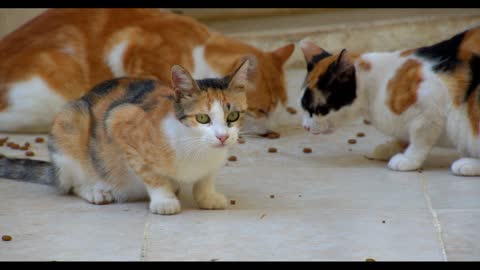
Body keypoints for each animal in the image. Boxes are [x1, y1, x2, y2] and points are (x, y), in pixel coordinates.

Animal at [0, 60, 253, 214]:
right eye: (202, 118)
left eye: (233, 115)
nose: (222, 137)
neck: (196, 148)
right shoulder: (119, 120)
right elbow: (151, 174)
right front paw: (164, 200)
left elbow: (205, 179)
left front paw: (207, 197)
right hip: (70, 122)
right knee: (70, 184)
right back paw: (95, 191)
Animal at [300, 26, 480, 176]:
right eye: (303, 108)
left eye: (319, 109)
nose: (305, 127)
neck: (376, 86)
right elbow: (405, 136)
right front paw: (390, 147)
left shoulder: (430, 107)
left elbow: (420, 138)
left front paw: (409, 159)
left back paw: (467, 164)